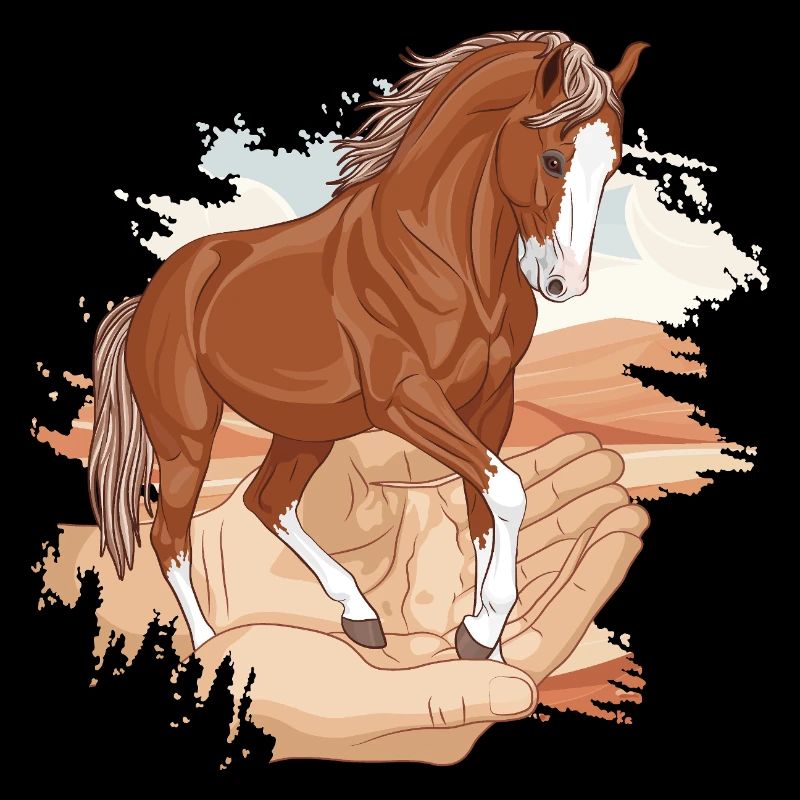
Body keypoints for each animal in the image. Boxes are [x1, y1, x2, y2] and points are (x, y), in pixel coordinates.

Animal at [88, 30, 646, 661]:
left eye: (612, 168)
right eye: (553, 159)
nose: (562, 283)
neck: (446, 261)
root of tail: (149, 298)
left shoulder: (489, 403)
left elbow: (484, 511)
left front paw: (486, 645)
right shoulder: (404, 399)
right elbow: (507, 491)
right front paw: (480, 634)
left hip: (305, 429)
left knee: (267, 501)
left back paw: (360, 616)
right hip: (185, 438)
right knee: (170, 535)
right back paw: (211, 644)